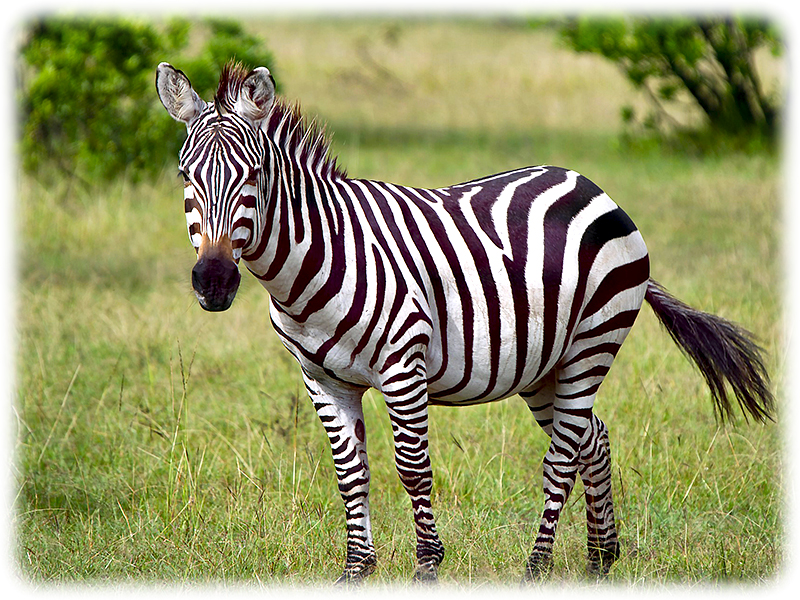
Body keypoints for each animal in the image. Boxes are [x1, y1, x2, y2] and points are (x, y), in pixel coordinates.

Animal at [156, 61, 774, 583]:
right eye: (185, 176)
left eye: (254, 175)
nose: (214, 282)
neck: (317, 259)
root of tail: (591, 186)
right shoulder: (322, 380)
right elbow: (351, 473)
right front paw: (357, 571)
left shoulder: (403, 367)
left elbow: (413, 469)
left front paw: (428, 566)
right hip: (542, 365)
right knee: (591, 439)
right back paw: (601, 558)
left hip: (591, 345)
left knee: (562, 457)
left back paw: (537, 568)